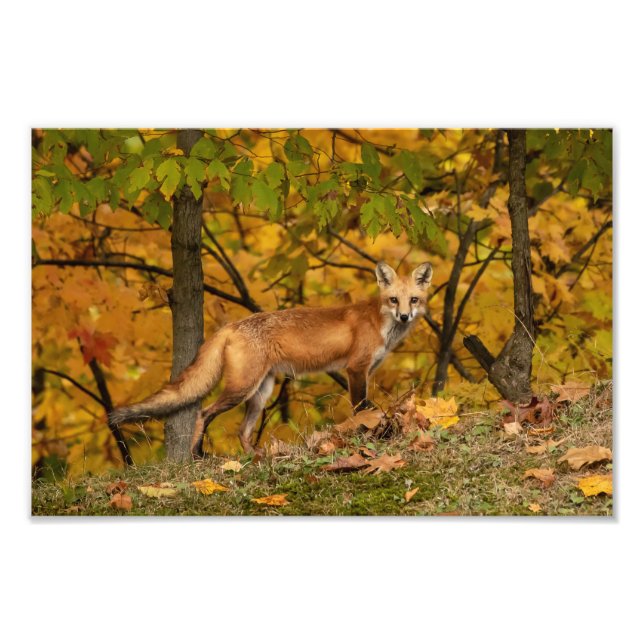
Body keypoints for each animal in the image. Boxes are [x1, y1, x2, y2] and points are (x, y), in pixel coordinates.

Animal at [109, 261, 433, 457]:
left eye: (414, 300)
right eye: (394, 300)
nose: (405, 316)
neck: (381, 323)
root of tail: (232, 325)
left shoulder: (366, 371)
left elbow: (365, 407)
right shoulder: (355, 370)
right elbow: (360, 410)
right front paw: (365, 436)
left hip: (261, 393)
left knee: (242, 430)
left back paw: (255, 457)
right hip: (241, 388)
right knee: (204, 413)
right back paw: (198, 455)